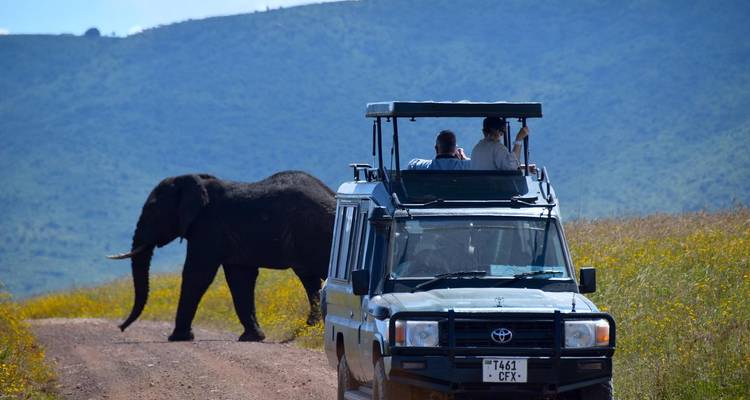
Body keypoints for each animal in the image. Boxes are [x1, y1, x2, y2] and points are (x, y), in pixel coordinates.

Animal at [108, 171, 336, 342]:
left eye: (153, 210)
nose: (120, 328)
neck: (196, 182)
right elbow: (240, 278)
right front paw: (252, 337)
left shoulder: (208, 228)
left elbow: (197, 274)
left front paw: (177, 338)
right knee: (309, 279)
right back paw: (309, 329)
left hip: (317, 232)